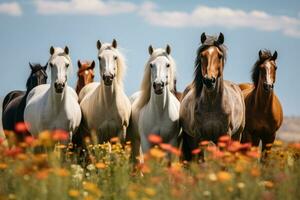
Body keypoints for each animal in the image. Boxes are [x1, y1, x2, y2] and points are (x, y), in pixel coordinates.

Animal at [179, 32, 245, 161]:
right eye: (202, 55)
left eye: (219, 56)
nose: (209, 81)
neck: (212, 104)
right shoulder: (199, 138)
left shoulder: (225, 137)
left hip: (237, 136)